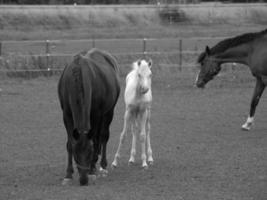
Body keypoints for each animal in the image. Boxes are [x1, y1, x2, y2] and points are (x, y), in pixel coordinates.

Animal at [59, 48, 121, 186]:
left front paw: (92, 170)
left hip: (109, 112)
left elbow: (96, 141)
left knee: (103, 136)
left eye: (89, 152)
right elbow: (70, 143)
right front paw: (68, 174)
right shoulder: (66, 115)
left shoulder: (96, 114)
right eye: (76, 154)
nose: (83, 180)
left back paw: (102, 166)